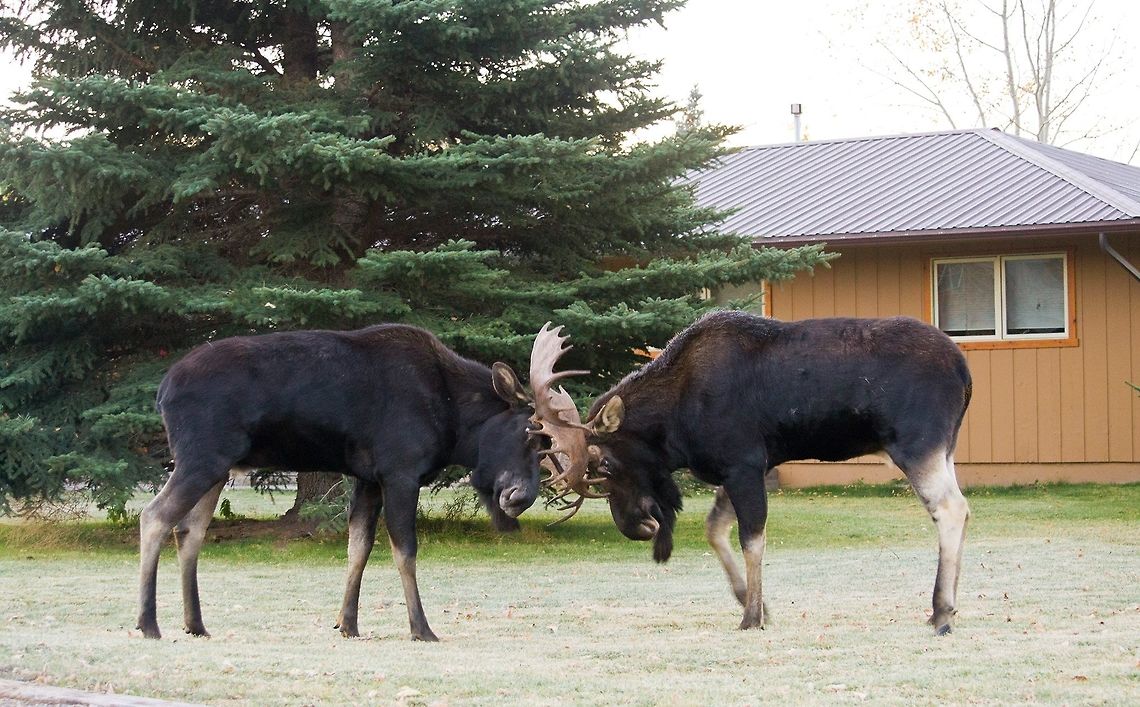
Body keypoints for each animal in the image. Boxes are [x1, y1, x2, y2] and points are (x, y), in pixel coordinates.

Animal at [138, 322, 580, 642]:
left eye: (547, 441)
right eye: (531, 433)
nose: (521, 497)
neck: (455, 422)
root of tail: (161, 392)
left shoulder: (367, 478)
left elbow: (358, 547)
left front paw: (347, 623)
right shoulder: (401, 472)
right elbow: (405, 550)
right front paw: (421, 628)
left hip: (218, 466)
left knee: (189, 531)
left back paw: (195, 624)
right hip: (201, 458)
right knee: (153, 516)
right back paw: (148, 623)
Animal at [548, 311, 973, 635]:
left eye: (605, 463)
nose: (634, 527)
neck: (676, 424)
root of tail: (965, 371)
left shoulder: (744, 464)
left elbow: (751, 539)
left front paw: (751, 616)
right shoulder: (739, 468)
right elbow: (715, 530)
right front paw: (757, 604)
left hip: (916, 445)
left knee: (951, 508)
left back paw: (941, 612)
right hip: (946, 449)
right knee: (961, 508)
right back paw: (946, 609)